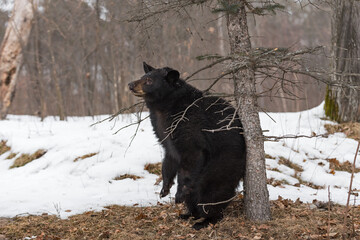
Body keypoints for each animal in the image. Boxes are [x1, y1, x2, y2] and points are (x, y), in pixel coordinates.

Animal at [128, 62, 246, 229]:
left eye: (149, 80)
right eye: (143, 76)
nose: (130, 85)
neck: (165, 108)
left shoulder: (189, 124)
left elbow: (192, 154)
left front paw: (178, 195)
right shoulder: (163, 133)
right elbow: (169, 158)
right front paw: (164, 189)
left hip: (221, 166)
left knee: (212, 194)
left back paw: (205, 220)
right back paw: (187, 214)